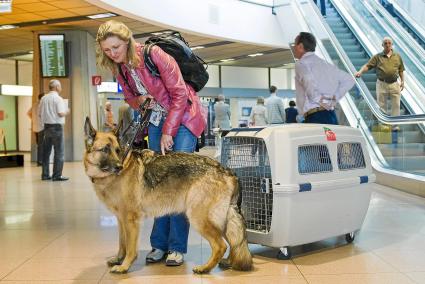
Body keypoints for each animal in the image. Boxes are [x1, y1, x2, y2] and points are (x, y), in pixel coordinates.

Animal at [83, 117, 252, 272]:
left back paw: (205, 268)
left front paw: (124, 266)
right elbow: (122, 244)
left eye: (117, 150)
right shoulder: (121, 220)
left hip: (198, 218)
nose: (118, 167)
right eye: (105, 150)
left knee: (221, 245)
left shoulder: (131, 220)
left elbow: (130, 248)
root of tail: (228, 171)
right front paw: (118, 259)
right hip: (223, 220)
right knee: (235, 242)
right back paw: (228, 262)